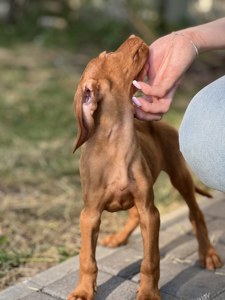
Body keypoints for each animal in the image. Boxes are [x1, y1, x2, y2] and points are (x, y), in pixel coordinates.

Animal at [69, 35, 222, 300]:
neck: (118, 143)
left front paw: (149, 292)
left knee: (196, 214)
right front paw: (83, 291)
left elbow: (150, 260)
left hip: (179, 176)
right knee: (133, 216)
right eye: (108, 54)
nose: (133, 37)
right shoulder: (89, 215)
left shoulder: (151, 213)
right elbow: (87, 258)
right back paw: (119, 238)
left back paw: (208, 254)